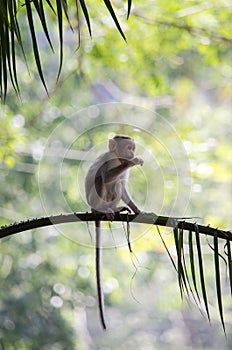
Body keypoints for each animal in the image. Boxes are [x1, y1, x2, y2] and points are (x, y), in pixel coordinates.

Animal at [85, 135, 143, 330]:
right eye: (128, 148)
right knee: (102, 178)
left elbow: (123, 188)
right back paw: (103, 210)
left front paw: (138, 211)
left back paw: (115, 209)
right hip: (94, 200)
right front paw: (132, 162)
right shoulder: (108, 159)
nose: (132, 153)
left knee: (117, 183)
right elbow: (105, 175)